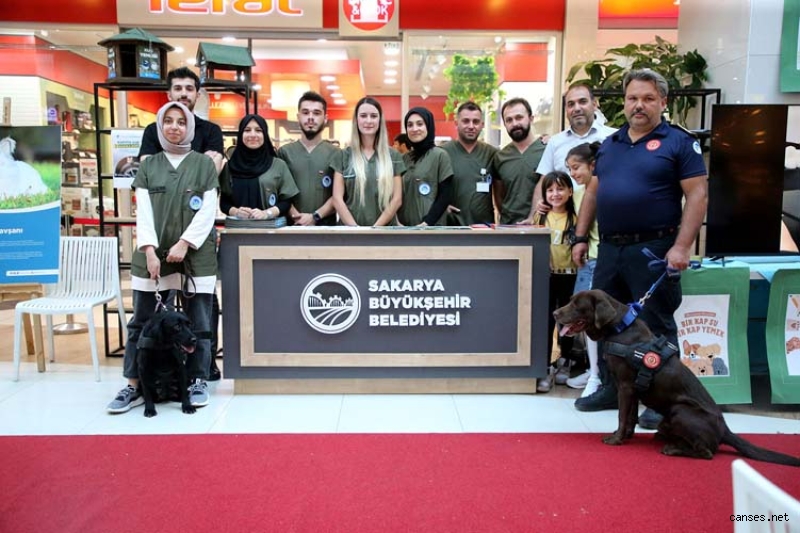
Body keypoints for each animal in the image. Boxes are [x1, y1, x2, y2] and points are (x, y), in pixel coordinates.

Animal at [554, 289, 800, 467]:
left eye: (577, 305)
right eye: (570, 301)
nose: (555, 313)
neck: (620, 329)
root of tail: (725, 429)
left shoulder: (625, 386)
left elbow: (623, 415)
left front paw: (615, 440)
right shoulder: (633, 388)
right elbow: (630, 416)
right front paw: (624, 436)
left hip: (681, 410)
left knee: (707, 452)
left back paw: (673, 449)